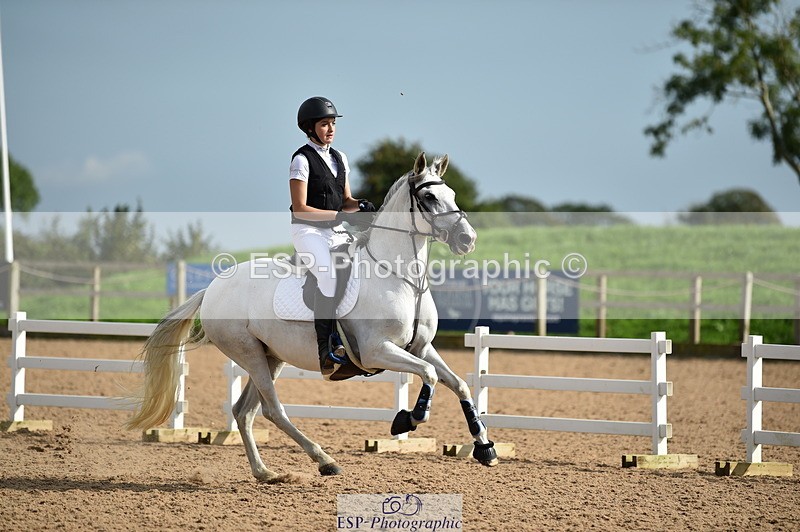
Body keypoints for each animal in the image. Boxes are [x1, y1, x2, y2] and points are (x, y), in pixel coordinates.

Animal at [126, 152, 498, 481]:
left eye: (452, 194)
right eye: (429, 197)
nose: (467, 239)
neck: (399, 277)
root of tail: (213, 288)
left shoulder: (421, 347)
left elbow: (459, 383)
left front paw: (484, 447)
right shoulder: (377, 350)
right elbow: (429, 376)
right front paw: (408, 419)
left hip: (270, 356)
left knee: (244, 412)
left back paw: (265, 473)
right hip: (248, 352)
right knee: (272, 410)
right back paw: (324, 461)